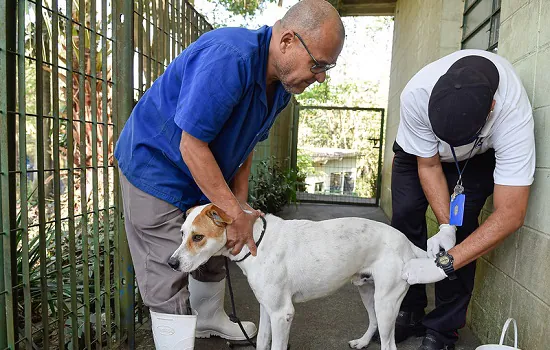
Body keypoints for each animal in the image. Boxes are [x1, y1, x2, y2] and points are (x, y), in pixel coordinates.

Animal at [170, 204, 430, 350]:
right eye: (182, 233)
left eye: (198, 237)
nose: (172, 263)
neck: (256, 240)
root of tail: (406, 241)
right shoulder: (267, 309)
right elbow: (262, 342)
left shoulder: (282, 313)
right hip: (368, 292)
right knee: (373, 321)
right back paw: (362, 342)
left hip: (387, 302)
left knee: (389, 344)